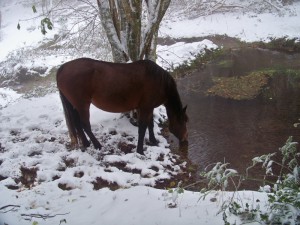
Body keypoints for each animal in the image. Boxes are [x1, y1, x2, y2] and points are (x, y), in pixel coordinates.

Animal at [56, 58, 188, 155]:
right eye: (183, 121)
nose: (185, 139)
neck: (158, 80)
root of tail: (63, 68)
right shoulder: (146, 107)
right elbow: (142, 127)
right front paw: (140, 151)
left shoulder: (147, 107)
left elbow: (150, 124)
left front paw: (153, 141)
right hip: (82, 105)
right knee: (85, 125)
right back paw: (98, 145)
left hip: (74, 105)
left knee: (77, 124)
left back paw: (86, 144)